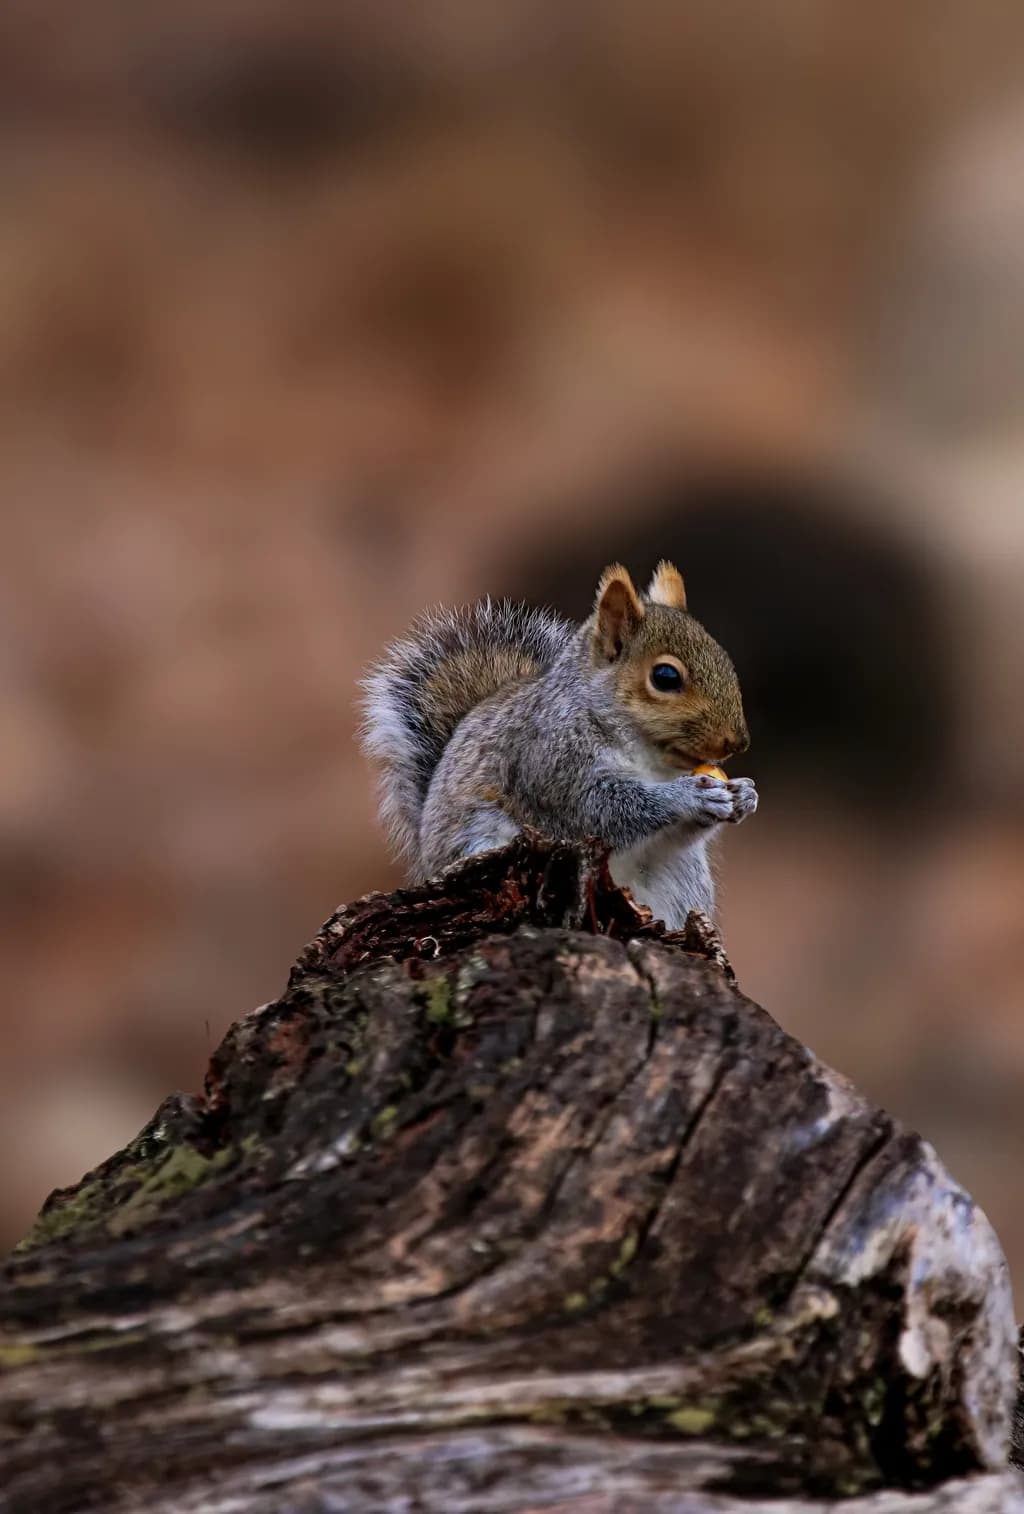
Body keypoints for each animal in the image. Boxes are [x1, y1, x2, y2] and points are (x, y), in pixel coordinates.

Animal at [360, 560, 756, 929]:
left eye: (723, 658)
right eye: (665, 676)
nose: (737, 742)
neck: (649, 759)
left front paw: (744, 793)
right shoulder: (549, 760)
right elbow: (600, 809)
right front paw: (690, 796)